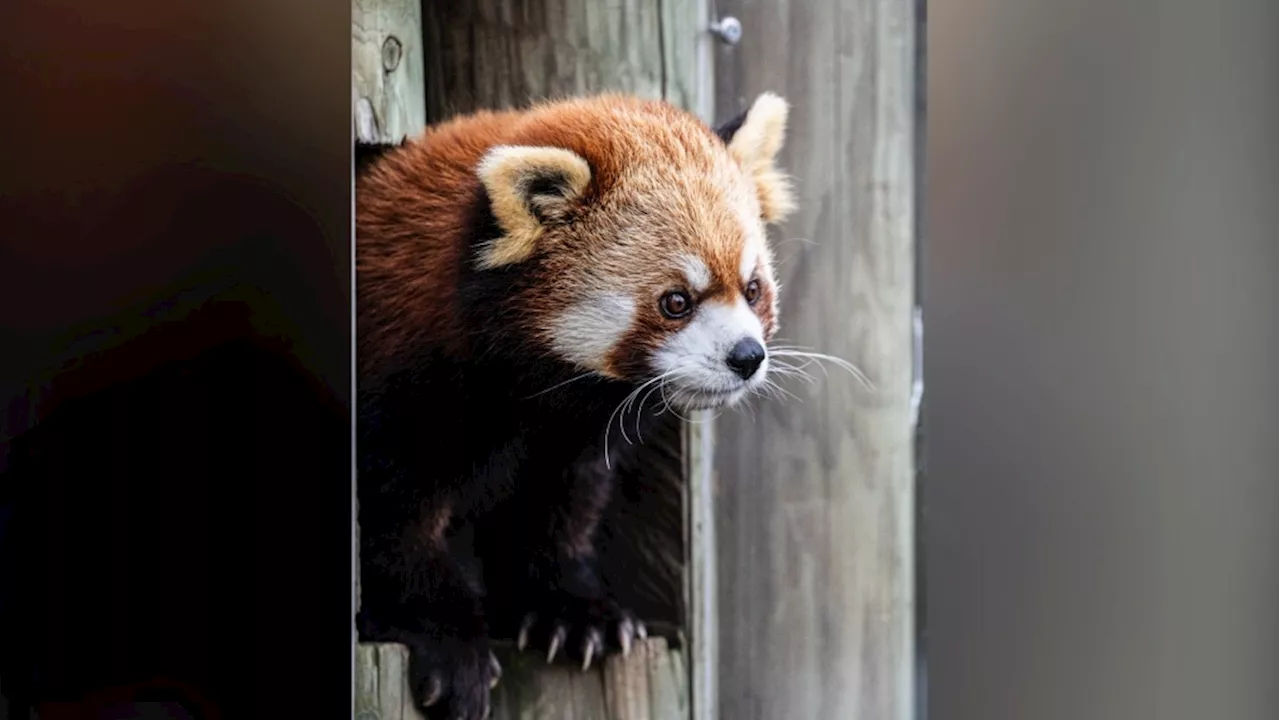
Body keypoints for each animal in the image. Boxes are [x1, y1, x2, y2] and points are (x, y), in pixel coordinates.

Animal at [350, 92, 788, 712]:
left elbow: (558, 509)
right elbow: (394, 530)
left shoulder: (567, 435)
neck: (532, 394)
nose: (747, 355)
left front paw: (573, 612)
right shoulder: (402, 395)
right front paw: (447, 642)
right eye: (675, 301)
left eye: (752, 290)